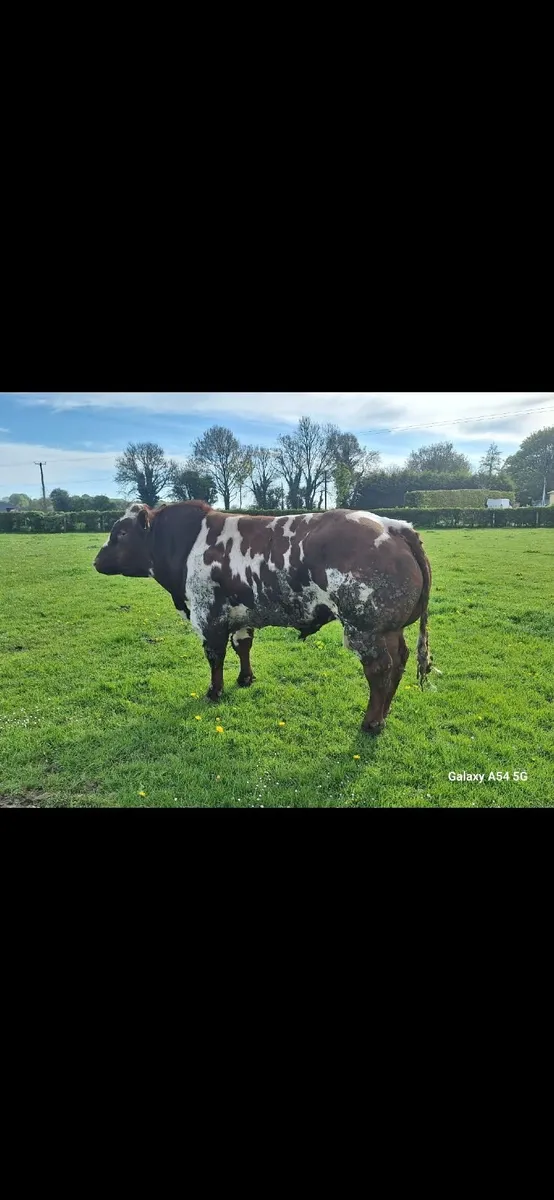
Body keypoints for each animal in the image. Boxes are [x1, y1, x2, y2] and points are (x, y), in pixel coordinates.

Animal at [94, 501, 432, 734]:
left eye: (121, 532)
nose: (96, 561)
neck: (187, 544)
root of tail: (392, 526)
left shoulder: (208, 616)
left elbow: (215, 657)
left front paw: (214, 692)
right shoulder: (241, 614)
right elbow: (243, 646)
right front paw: (245, 678)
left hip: (366, 629)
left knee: (379, 670)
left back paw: (371, 722)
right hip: (391, 629)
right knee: (399, 663)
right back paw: (383, 716)